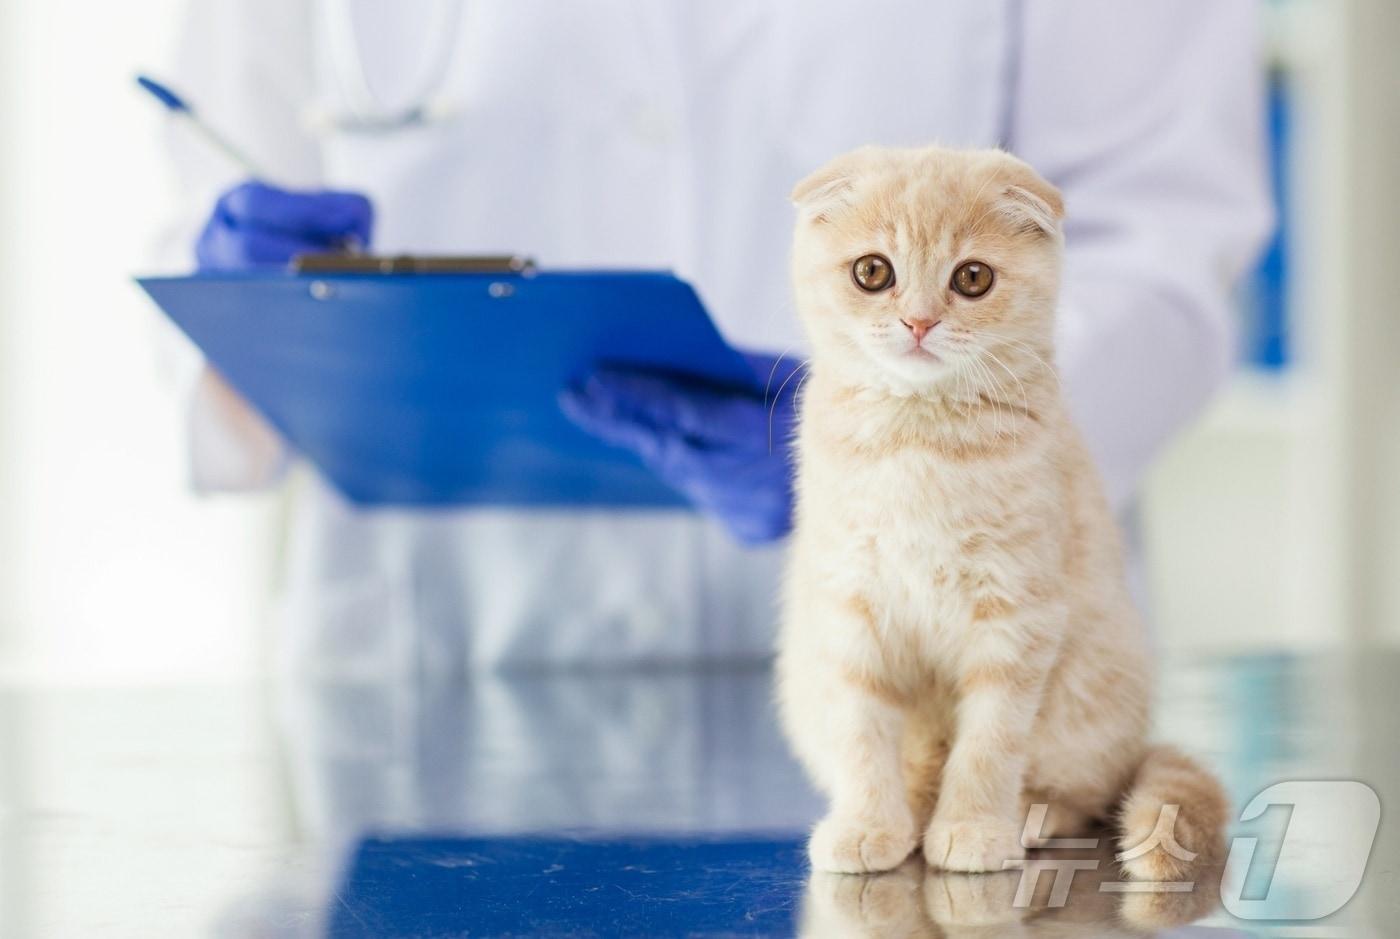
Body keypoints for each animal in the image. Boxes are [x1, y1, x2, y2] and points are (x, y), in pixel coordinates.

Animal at [778, 144, 1226, 884]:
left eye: (972, 278)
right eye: (873, 272)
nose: (919, 321)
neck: (919, 437)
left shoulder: (1016, 611)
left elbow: (989, 740)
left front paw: (972, 828)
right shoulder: (850, 604)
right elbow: (863, 730)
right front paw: (869, 823)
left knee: (1082, 791)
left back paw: (1028, 815)